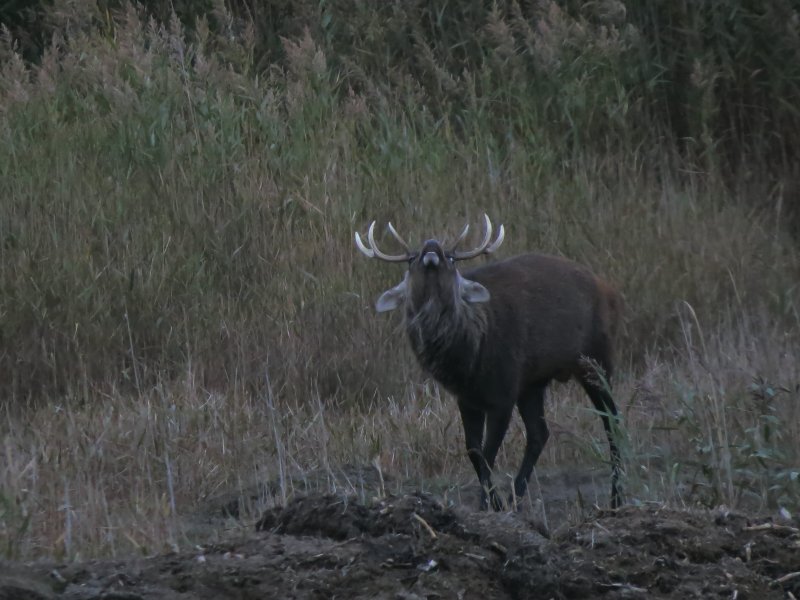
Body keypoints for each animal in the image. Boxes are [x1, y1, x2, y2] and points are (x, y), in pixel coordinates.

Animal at [355, 214, 623, 511]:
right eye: (411, 259)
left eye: (451, 258)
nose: (432, 246)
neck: (468, 361)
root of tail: (611, 291)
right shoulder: (467, 398)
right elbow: (474, 450)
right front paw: (495, 503)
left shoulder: (503, 392)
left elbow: (489, 450)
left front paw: (488, 504)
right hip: (533, 382)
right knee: (539, 433)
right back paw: (516, 497)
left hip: (596, 359)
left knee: (612, 422)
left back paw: (616, 498)